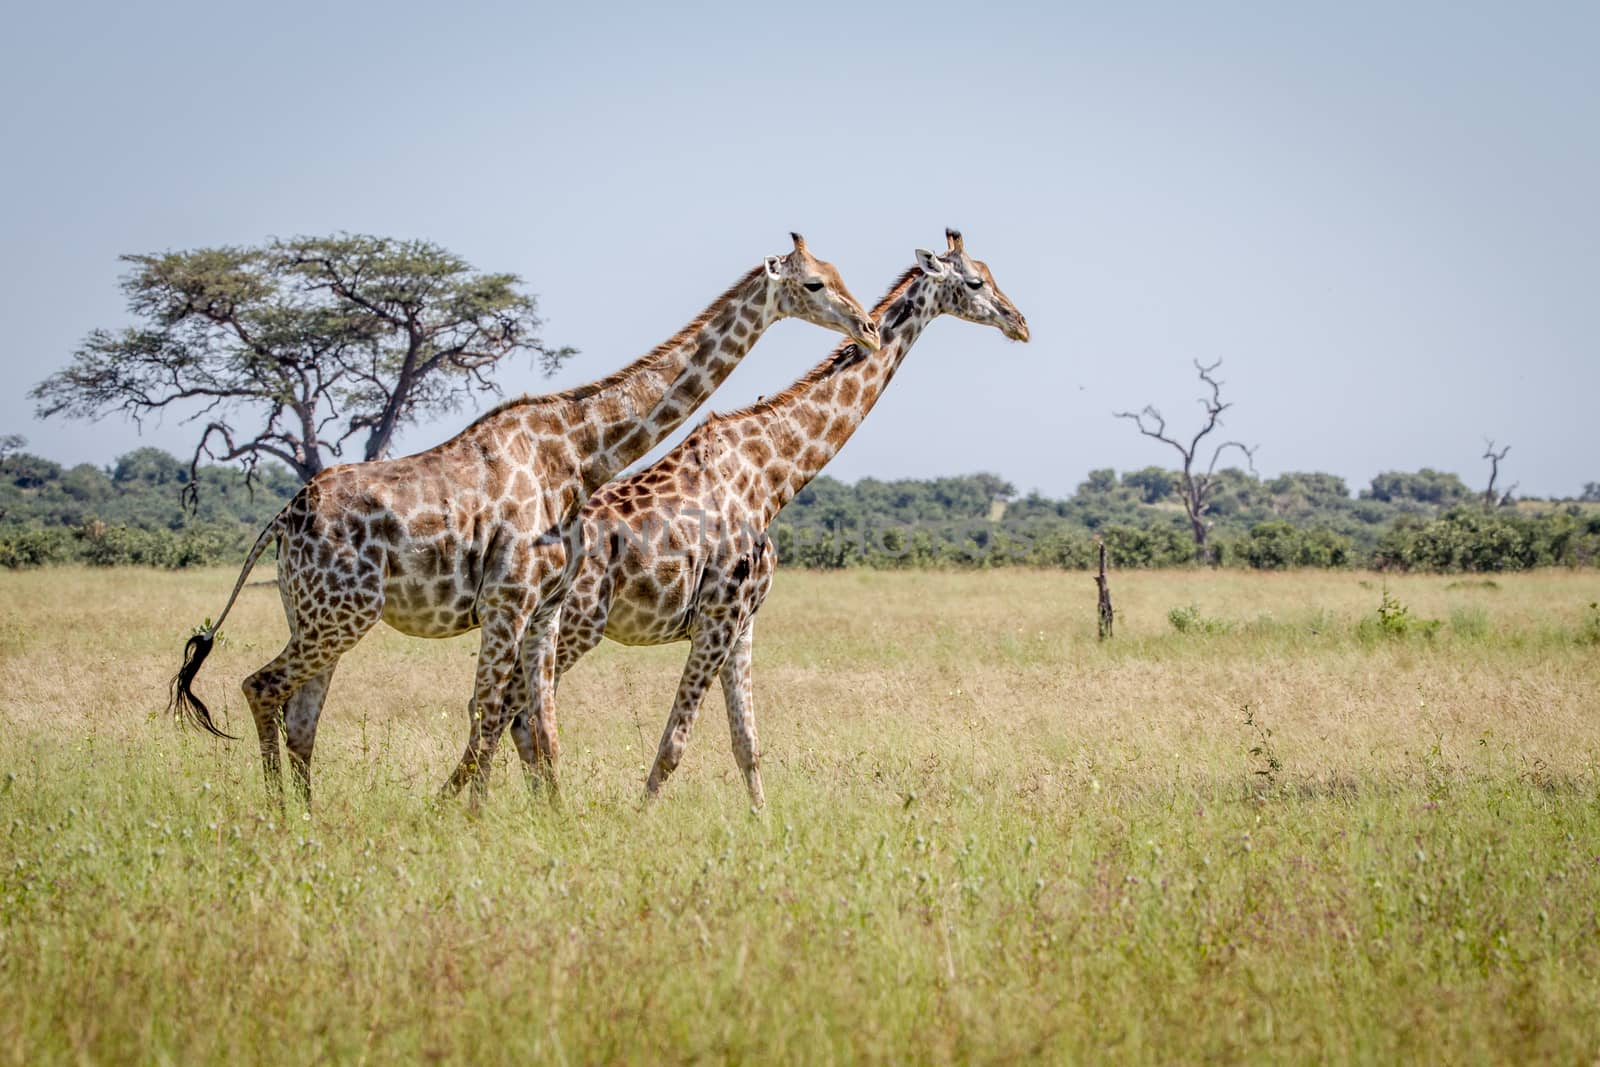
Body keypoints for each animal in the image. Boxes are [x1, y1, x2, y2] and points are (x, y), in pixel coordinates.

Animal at [168, 233, 883, 806]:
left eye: (838, 270)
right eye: (814, 283)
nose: (867, 328)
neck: (578, 452)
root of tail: (284, 518)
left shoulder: (546, 608)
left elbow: (540, 725)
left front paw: (552, 822)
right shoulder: (507, 600)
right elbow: (488, 711)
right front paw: (472, 819)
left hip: (320, 614)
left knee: (302, 716)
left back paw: (308, 816)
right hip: (340, 613)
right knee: (262, 686)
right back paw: (281, 814)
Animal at [515, 230, 1036, 806]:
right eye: (976, 282)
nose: (1020, 323)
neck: (771, 474)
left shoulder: (743, 622)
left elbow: (747, 743)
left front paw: (760, 818)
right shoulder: (717, 617)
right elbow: (675, 745)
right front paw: (639, 818)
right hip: (579, 623)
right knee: (521, 716)